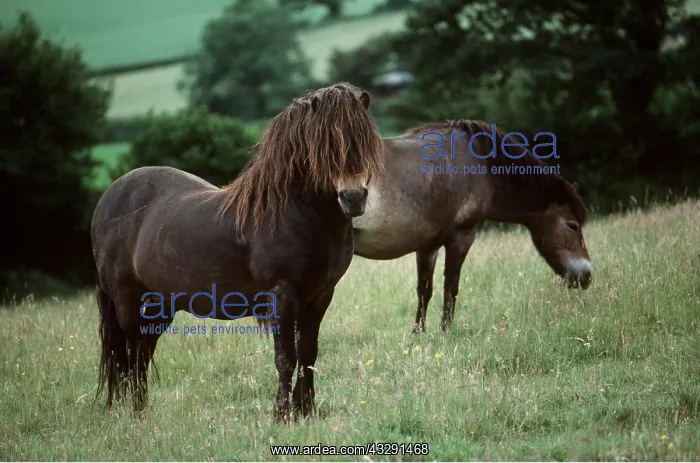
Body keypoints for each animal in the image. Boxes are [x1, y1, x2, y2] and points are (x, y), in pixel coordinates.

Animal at [91, 82, 384, 421]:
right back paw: (137, 415)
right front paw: (282, 414)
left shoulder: (321, 296)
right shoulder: (282, 297)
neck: (293, 211)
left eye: (364, 138)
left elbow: (308, 353)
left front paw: (306, 410)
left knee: (141, 353)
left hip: (159, 306)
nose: (353, 197)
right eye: (324, 145)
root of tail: (109, 198)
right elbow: (286, 356)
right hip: (127, 302)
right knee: (131, 353)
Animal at [352, 120, 592, 333]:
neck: (482, 165)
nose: (586, 275)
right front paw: (446, 330)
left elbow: (424, 290)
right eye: (572, 225)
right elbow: (451, 287)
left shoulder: (428, 245)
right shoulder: (462, 236)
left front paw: (418, 332)